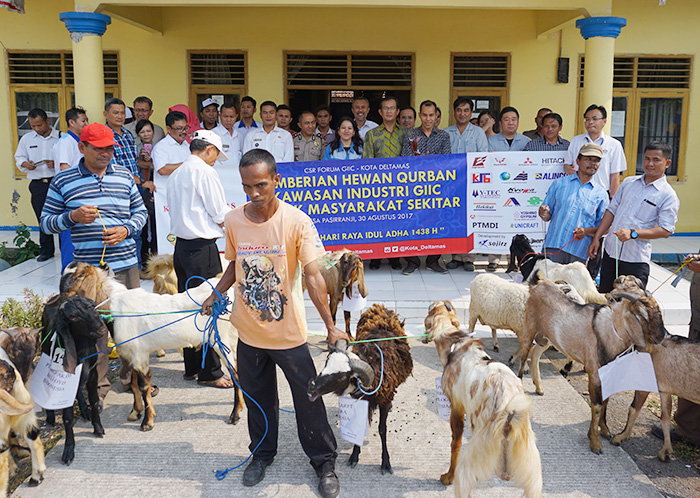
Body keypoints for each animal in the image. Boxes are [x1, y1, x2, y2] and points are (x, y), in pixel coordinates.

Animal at [60, 262, 246, 430]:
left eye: (77, 276)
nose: (61, 302)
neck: (115, 306)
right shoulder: (133, 354)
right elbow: (134, 383)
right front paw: (135, 411)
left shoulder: (139, 355)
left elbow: (143, 386)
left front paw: (147, 422)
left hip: (221, 340)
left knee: (236, 373)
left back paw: (235, 414)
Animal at [306, 304, 410, 474]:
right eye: (326, 364)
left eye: (341, 377)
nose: (311, 388)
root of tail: (381, 307)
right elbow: (358, 426)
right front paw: (354, 457)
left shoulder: (385, 399)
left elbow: (382, 430)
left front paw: (385, 462)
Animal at [422, 302, 540, 496]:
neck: (455, 345)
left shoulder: (457, 408)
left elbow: (455, 444)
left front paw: (448, 477)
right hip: (532, 466)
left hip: (475, 451)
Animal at [516, 274, 664, 454]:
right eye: (641, 314)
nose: (661, 336)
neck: (610, 330)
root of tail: (538, 283)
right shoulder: (594, 374)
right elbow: (597, 406)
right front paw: (595, 443)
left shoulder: (609, 375)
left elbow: (606, 401)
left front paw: (605, 430)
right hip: (529, 327)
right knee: (524, 356)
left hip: (546, 336)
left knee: (535, 353)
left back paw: (539, 387)